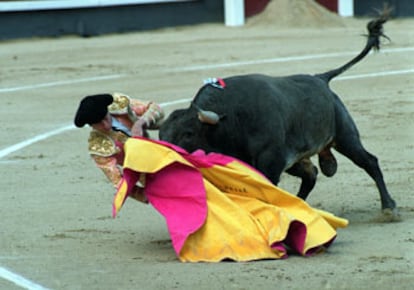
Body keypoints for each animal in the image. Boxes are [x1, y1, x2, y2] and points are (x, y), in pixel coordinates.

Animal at [157, 17, 400, 221]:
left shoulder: (270, 162)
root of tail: (321, 79)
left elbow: (267, 191)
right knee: (311, 174)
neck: (231, 120)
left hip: (344, 136)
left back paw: (389, 207)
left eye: (188, 133)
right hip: (297, 158)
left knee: (369, 162)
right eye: (160, 134)